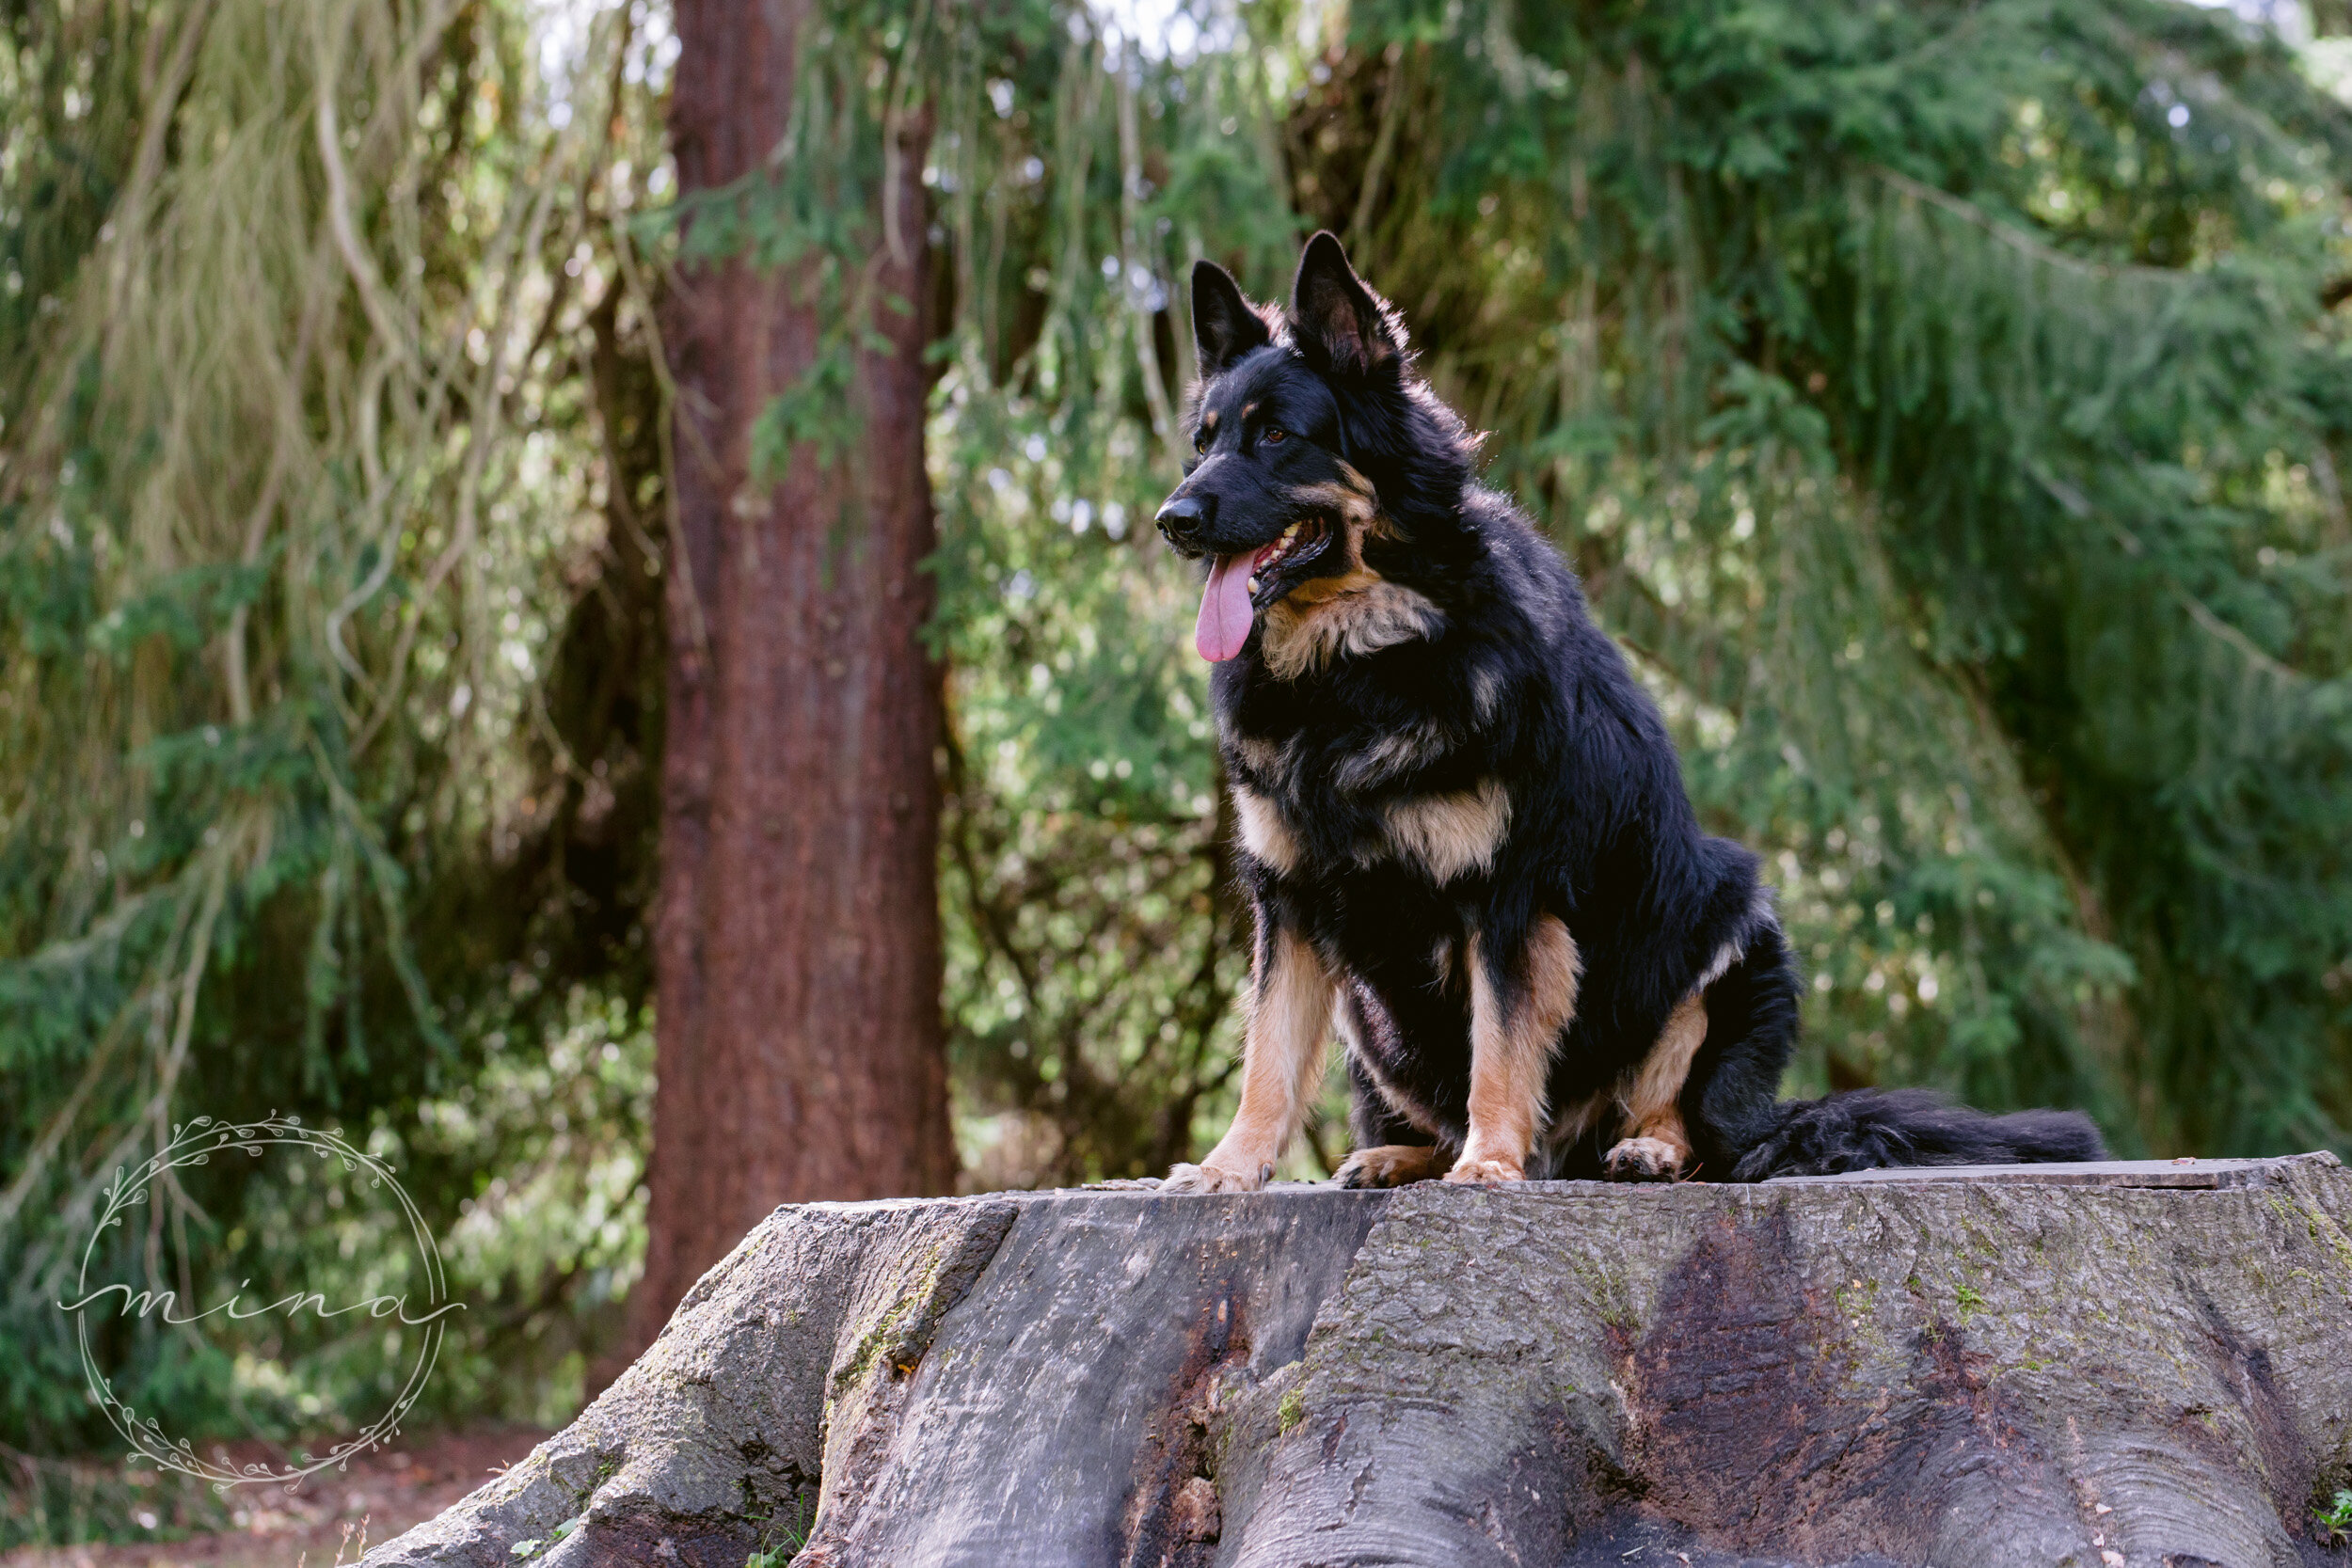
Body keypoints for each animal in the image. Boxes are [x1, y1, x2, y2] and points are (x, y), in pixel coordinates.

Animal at [1148, 232, 2107, 1189]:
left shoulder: (1510, 897)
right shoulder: (1291, 900)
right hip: (1374, 1016)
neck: (1361, 661)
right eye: (1202, 442)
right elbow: (1268, 1057)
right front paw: (1229, 1166)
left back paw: (1641, 1146)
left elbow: (1499, 1044)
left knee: (1684, 1116)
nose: (1172, 518)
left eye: (1277, 435)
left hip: (1723, 925)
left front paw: (1490, 1164)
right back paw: (1402, 1151)